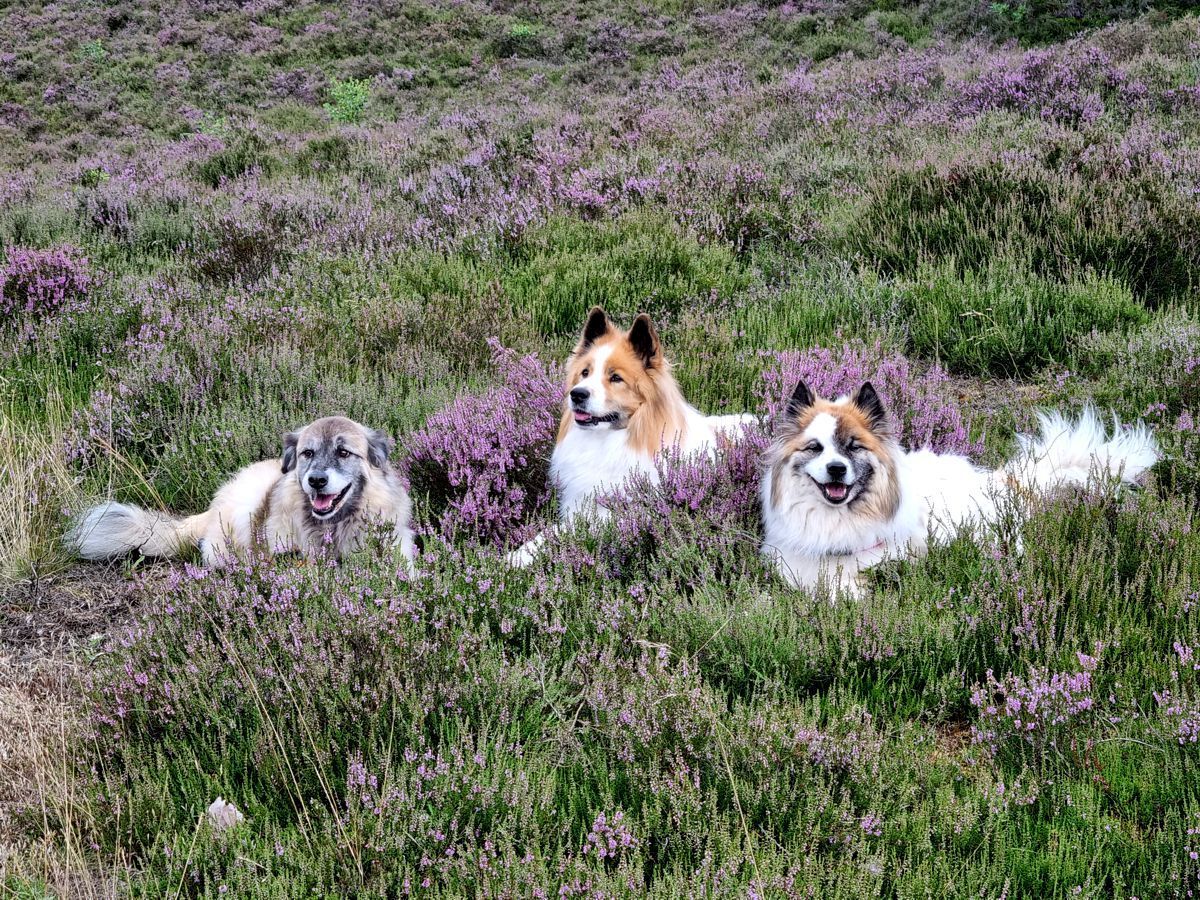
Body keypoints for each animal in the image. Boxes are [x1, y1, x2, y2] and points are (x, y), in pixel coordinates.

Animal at [506, 307, 748, 566]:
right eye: (585, 373)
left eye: (616, 378)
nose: (577, 394)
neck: (610, 440)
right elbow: (550, 532)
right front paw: (516, 556)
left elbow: (571, 530)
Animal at [758, 381, 1161, 600]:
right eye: (815, 448)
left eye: (853, 447)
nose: (837, 469)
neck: (836, 520)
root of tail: (1009, 481)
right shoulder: (789, 561)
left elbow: (844, 587)